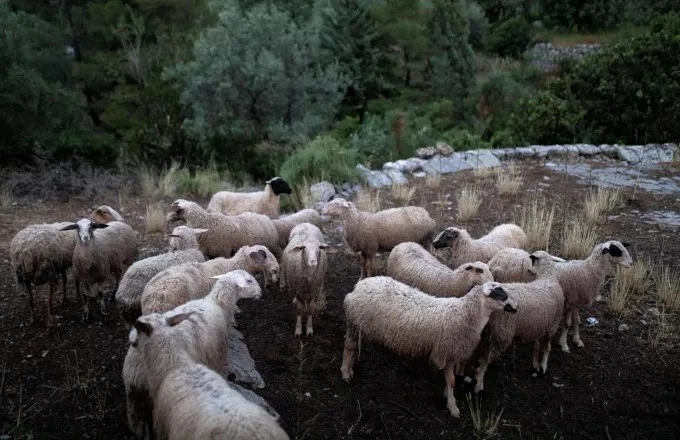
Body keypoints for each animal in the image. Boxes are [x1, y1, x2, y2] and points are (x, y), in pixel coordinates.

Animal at [122, 270, 262, 438]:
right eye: (249, 281)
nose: (260, 292)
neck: (218, 304)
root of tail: (136, 368)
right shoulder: (217, 356)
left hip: (134, 397)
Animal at [340, 280, 516, 418]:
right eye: (501, 294)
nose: (516, 308)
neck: (464, 313)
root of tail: (358, 286)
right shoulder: (446, 350)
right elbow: (452, 381)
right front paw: (453, 406)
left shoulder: (452, 353)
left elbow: (450, 380)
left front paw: (447, 395)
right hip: (355, 324)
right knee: (349, 348)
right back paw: (345, 373)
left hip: (360, 326)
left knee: (353, 348)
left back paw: (350, 370)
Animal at [472, 253, 564, 394]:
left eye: (532, 260)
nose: (529, 270)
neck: (547, 277)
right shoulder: (552, 325)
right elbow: (547, 347)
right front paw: (543, 366)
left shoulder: (540, 324)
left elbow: (537, 346)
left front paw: (536, 364)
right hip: (503, 331)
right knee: (487, 358)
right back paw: (478, 382)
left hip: (490, 331)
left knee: (484, 353)